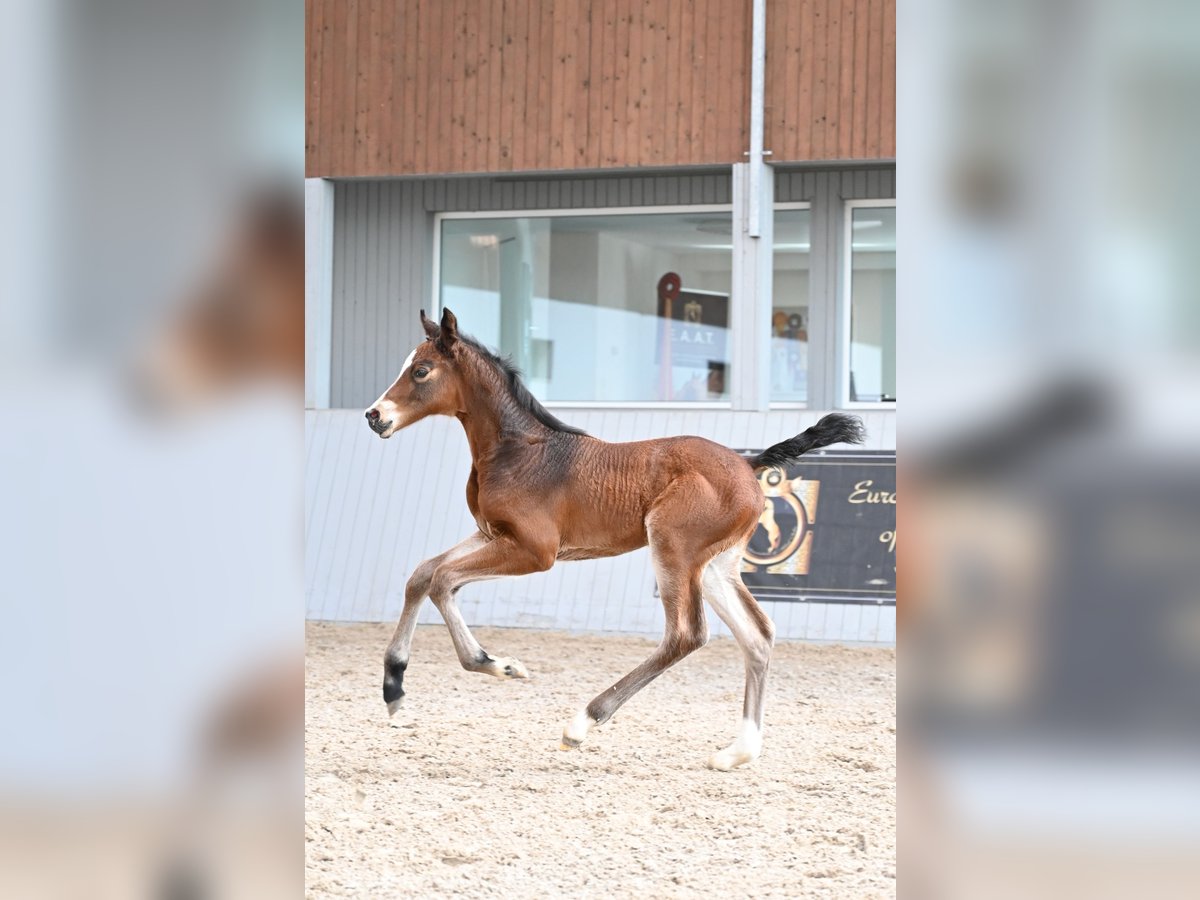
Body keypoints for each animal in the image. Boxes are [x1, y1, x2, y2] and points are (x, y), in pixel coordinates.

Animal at [364, 309, 864, 768]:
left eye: (421, 370)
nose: (374, 416)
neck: (519, 451)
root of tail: (748, 463)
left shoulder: (534, 550)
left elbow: (443, 580)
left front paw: (495, 664)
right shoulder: (491, 534)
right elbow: (422, 574)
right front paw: (394, 690)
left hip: (673, 549)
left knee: (686, 635)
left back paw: (582, 722)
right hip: (715, 568)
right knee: (757, 635)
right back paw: (737, 752)